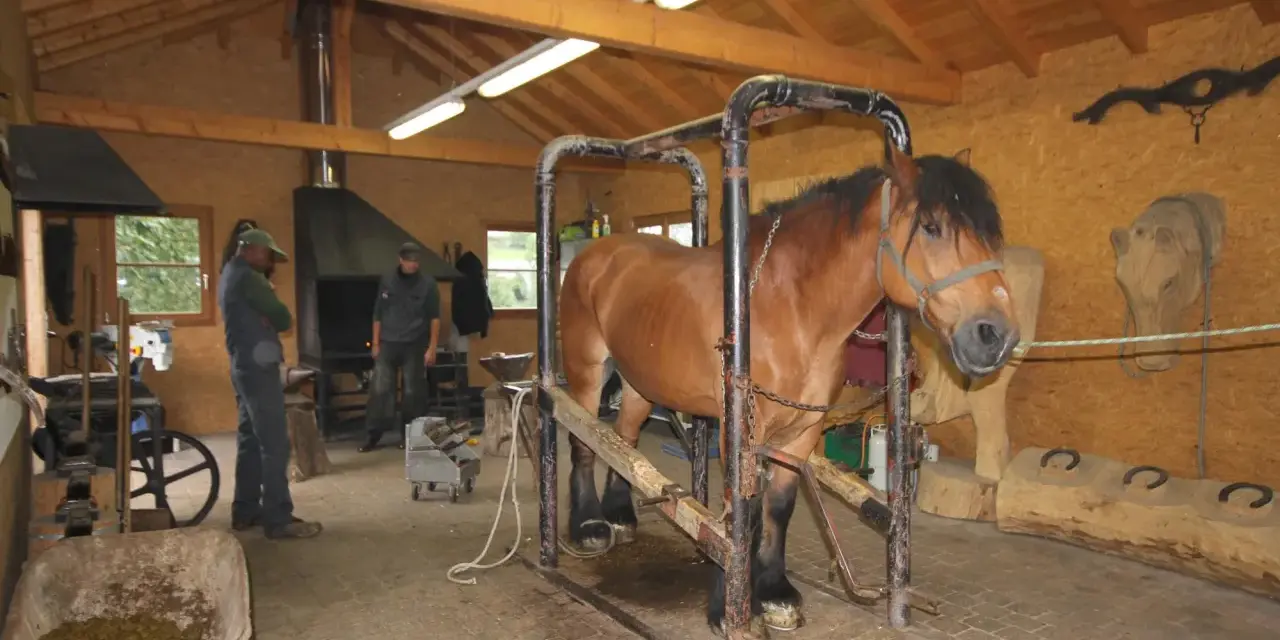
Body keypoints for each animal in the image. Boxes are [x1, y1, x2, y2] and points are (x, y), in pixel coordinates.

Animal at [557, 146, 1020, 635]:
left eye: (988, 234)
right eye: (931, 227)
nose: (997, 335)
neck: (787, 305)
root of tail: (596, 253)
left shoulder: (801, 432)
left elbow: (778, 508)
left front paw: (774, 592)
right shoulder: (741, 431)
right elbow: (739, 516)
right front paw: (727, 609)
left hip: (639, 382)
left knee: (622, 438)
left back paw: (620, 516)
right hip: (588, 373)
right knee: (583, 439)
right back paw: (589, 526)